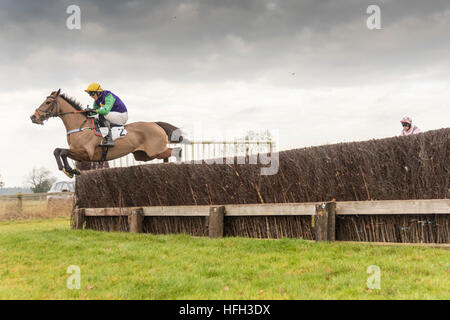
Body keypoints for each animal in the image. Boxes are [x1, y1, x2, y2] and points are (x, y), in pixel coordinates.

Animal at [29, 89, 183, 179]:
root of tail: (155, 124)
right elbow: (58, 150)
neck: (80, 127)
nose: (33, 117)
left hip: (155, 151)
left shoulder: (87, 153)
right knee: (167, 154)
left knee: (177, 151)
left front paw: (70, 170)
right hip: (144, 155)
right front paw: (68, 170)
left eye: (48, 102)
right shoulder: (79, 154)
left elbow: (63, 152)